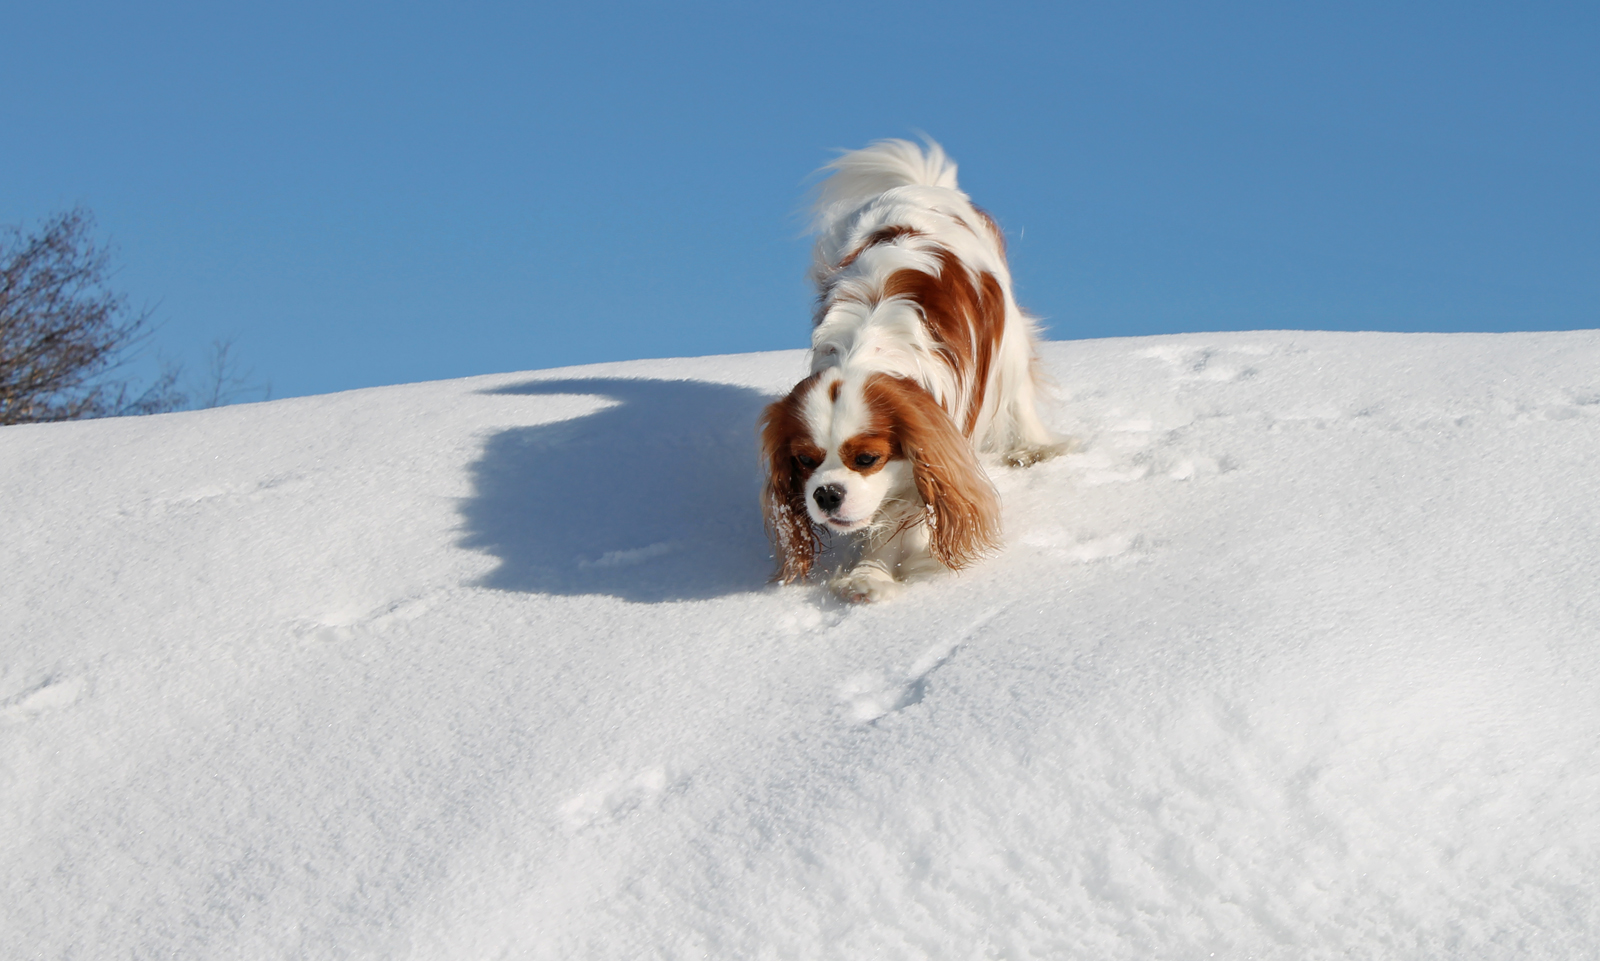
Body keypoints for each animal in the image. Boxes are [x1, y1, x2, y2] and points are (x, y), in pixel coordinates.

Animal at [761, 136, 1062, 601]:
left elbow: (900, 513)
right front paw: (868, 571)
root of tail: (922, 186)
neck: (866, 348)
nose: (827, 494)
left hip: (1008, 337)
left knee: (1017, 392)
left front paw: (872, 576)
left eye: (867, 458)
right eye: (804, 460)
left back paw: (1032, 447)